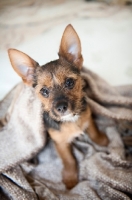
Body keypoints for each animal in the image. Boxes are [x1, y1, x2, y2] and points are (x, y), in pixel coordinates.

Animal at [8, 23, 108, 189]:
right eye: (44, 91)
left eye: (69, 82)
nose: (61, 107)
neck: (70, 119)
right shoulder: (60, 143)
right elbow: (68, 159)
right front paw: (70, 178)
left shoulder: (87, 116)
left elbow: (92, 129)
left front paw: (101, 139)